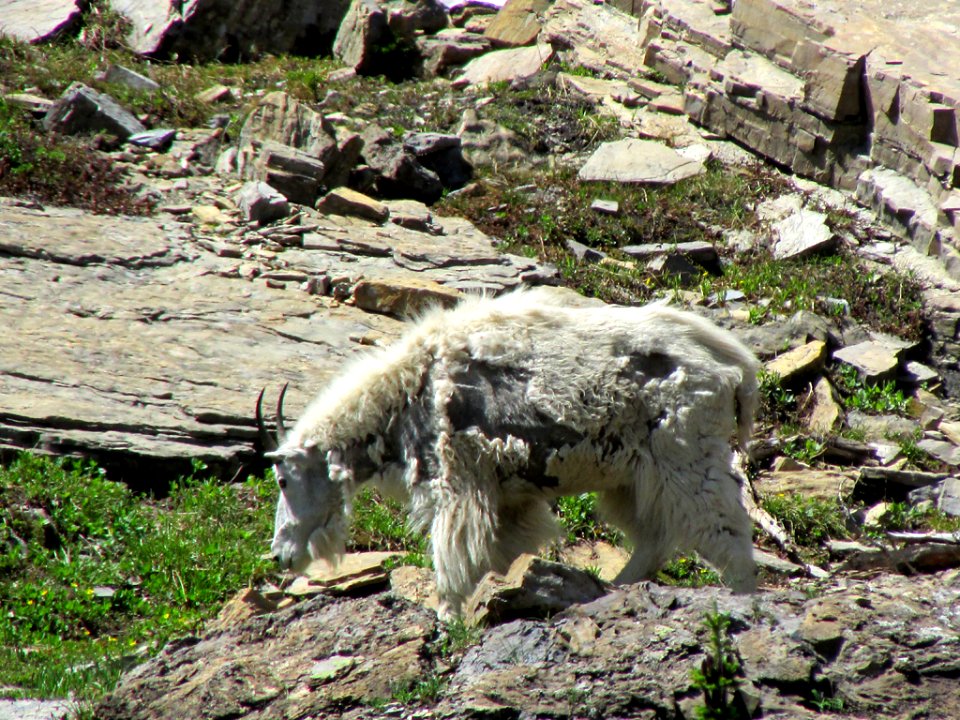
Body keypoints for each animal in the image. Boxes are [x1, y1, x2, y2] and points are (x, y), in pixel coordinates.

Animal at [258, 286, 760, 620]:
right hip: (631, 480)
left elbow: (454, 558)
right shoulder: (507, 499)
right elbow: (501, 555)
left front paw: (448, 617)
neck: (406, 393)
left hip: (687, 459)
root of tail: (735, 368)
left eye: (282, 479)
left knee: (726, 535)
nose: (280, 555)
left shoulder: (458, 484)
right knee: (654, 539)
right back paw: (612, 590)